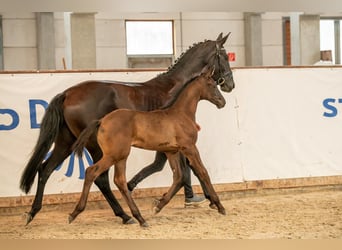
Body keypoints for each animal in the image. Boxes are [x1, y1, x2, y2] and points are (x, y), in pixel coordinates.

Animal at [19, 32, 235, 225]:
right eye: (224, 56)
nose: (230, 85)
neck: (173, 90)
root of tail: (67, 93)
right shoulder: (176, 145)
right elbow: (188, 170)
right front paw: (207, 200)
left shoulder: (169, 146)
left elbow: (180, 171)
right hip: (95, 147)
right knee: (100, 178)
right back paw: (124, 215)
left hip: (67, 142)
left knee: (45, 169)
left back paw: (33, 212)